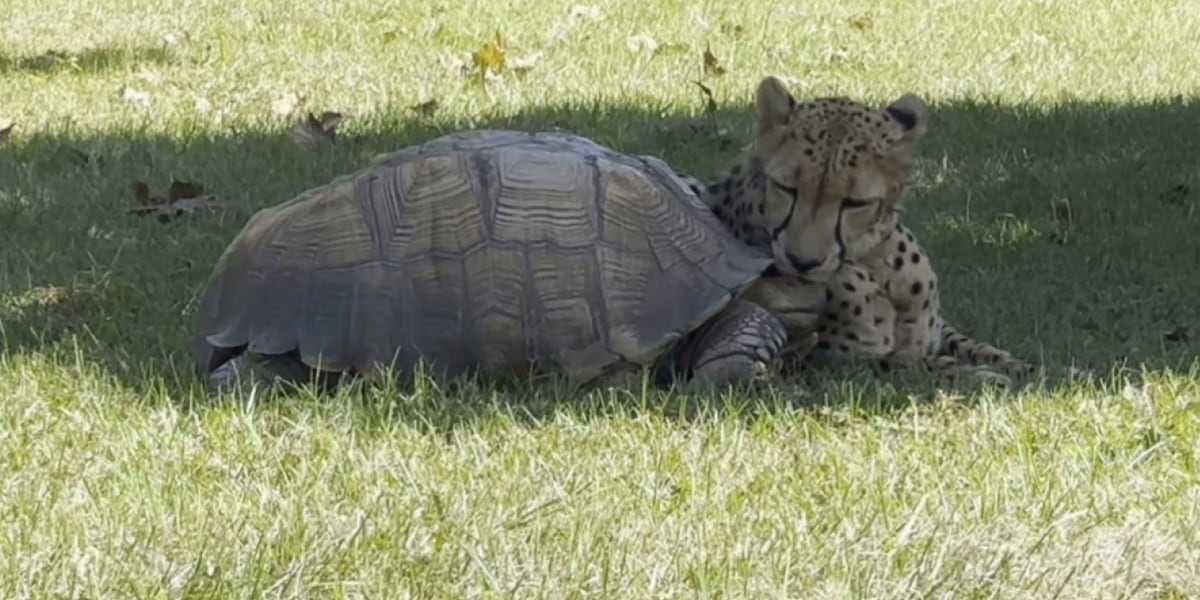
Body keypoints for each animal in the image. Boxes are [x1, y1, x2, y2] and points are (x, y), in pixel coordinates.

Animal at [676, 77, 1033, 384]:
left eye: (855, 202)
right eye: (786, 188)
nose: (802, 262)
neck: (878, 263)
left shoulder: (936, 330)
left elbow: (977, 347)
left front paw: (1020, 367)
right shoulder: (846, 361)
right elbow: (923, 363)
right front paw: (983, 378)